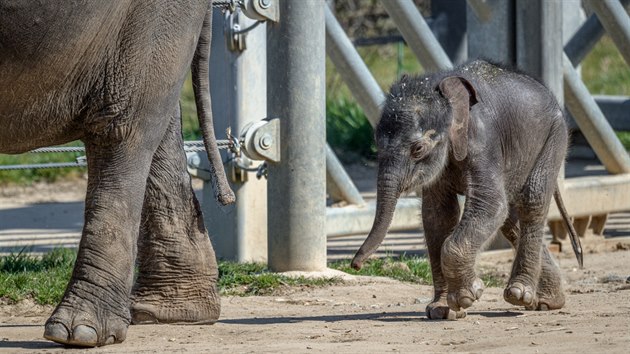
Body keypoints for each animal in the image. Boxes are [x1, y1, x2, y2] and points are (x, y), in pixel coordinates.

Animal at [354, 60, 584, 320]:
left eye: (418, 149)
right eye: (376, 145)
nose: (356, 265)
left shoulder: (484, 141)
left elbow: (491, 204)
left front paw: (468, 295)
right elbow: (438, 216)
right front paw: (441, 310)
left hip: (554, 137)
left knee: (531, 201)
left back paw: (520, 294)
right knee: (510, 220)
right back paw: (547, 302)